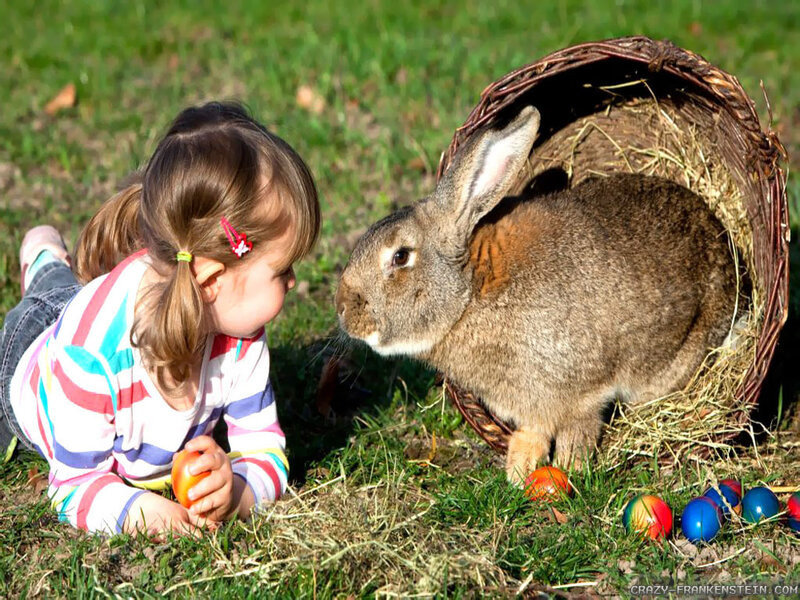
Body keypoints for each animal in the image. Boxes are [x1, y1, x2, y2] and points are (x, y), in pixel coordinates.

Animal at [335, 106, 738, 482]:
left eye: (401, 256)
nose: (343, 309)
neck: (471, 293)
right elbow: (534, 432)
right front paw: (518, 470)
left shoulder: (583, 391)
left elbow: (579, 428)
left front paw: (570, 468)